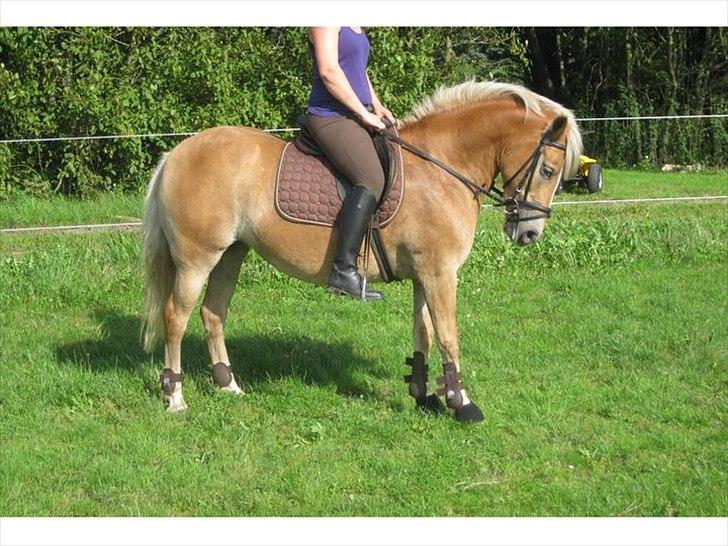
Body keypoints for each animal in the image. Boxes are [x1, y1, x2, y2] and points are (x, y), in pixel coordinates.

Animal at [144, 81, 580, 420]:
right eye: (548, 170)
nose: (530, 233)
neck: (439, 170)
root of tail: (177, 153)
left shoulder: (424, 275)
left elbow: (423, 332)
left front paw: (424, 395)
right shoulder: (440, 274)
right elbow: (448, 336)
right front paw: (462, 403)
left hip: (231, 253)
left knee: (212, 313)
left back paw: (228, 385)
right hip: (197, 258)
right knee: (176, 317)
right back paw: (175, 397)